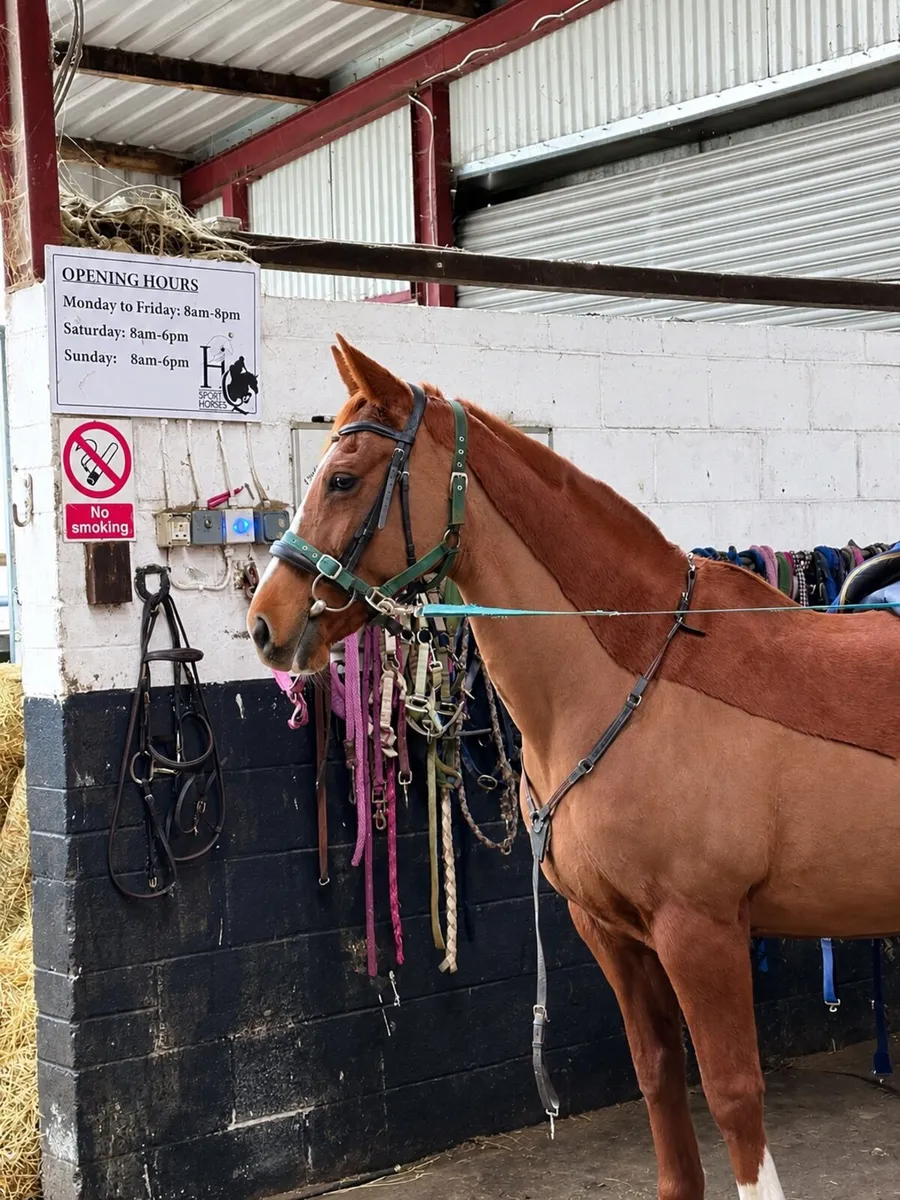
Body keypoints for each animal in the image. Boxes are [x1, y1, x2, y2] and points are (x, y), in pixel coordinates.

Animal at [248, 335, 900, 1200]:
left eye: (344, 478)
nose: (265, 623)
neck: (626, 685)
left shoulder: (702, 932)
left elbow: (733, 1097)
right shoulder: (613, 934)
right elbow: (659, 1081)